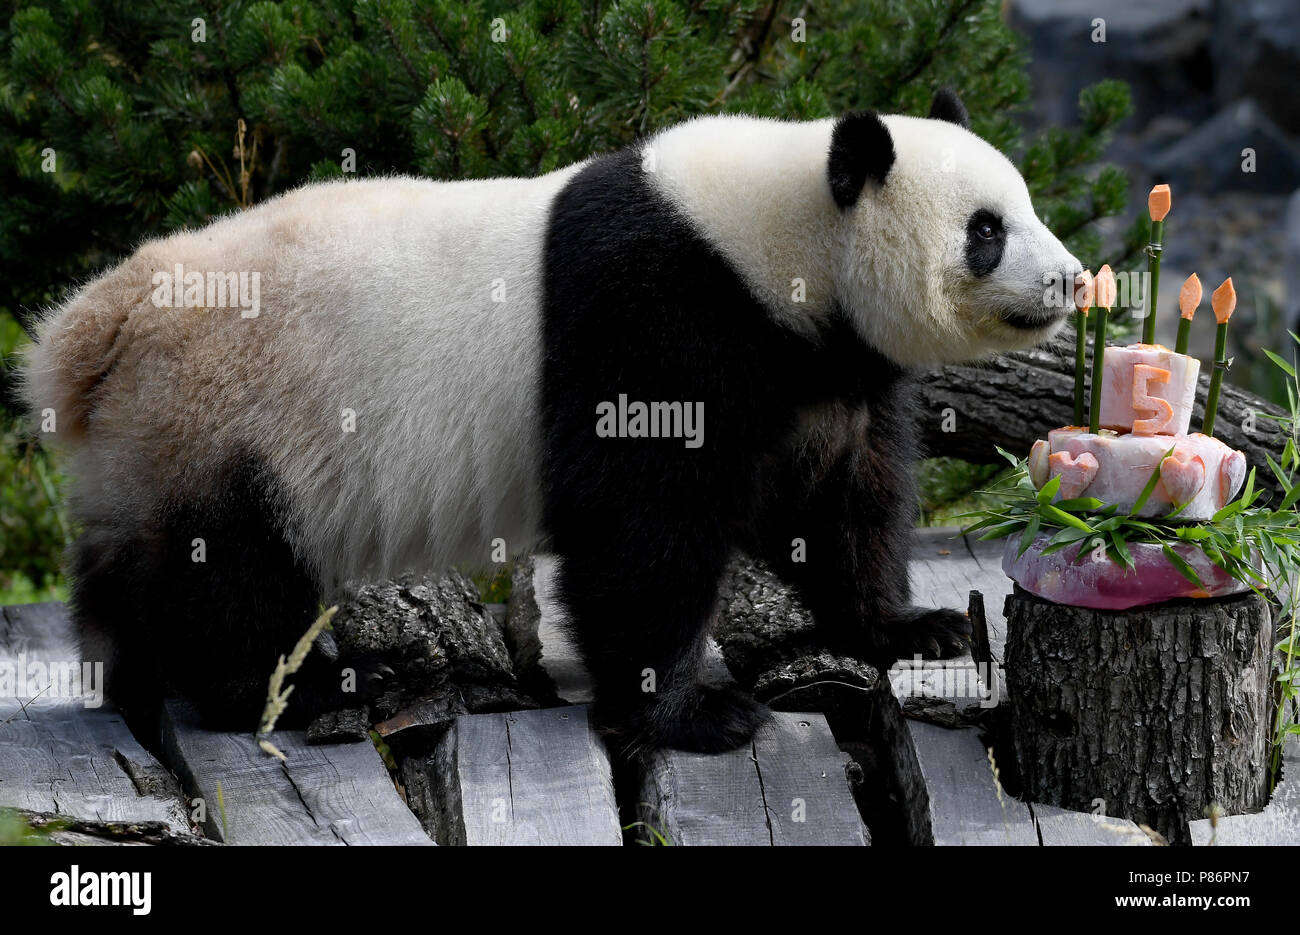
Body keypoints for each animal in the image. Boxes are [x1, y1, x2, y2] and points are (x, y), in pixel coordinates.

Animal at [22, 89, 1081, 753]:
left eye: (1026, 205)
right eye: (987, 229)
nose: (1071, 280)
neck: (779, 236)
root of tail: (101, 318)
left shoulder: (815, 363)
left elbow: (838, 497)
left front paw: (913, 628)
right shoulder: (659, 310)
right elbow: (641, 527)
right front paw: (698, 714)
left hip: (155, 434)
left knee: (136, 558)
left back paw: (135, 674)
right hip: (235, 409)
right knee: (229, 567)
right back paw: (298, 687)